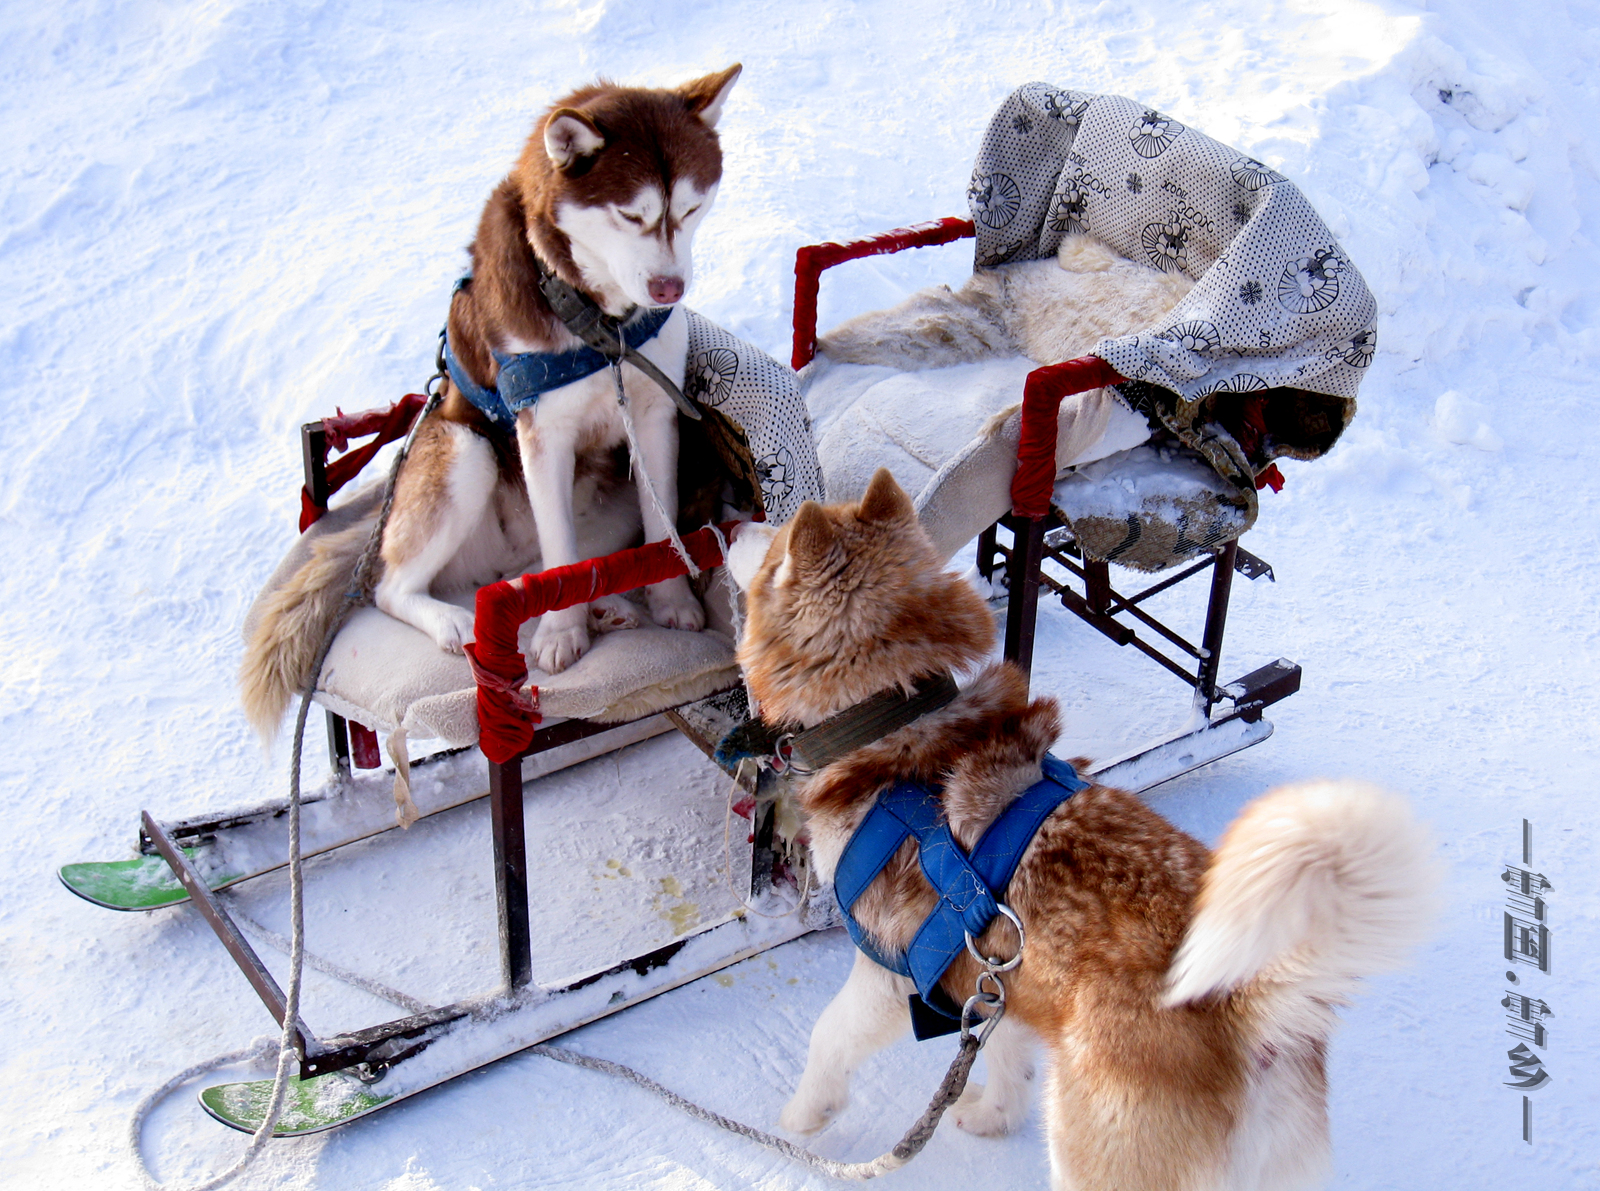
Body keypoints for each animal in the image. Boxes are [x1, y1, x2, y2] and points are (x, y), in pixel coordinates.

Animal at [240, 65, 739, 739]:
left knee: (535, 570)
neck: (600, 326)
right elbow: (560, 559)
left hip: (603, 507)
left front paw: (670, 601)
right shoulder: (542, 432)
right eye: (629, 215)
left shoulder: (655, 414)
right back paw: (458, 620)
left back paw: (603, 605)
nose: (669, 287)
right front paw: (560, 631)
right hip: (463, 452)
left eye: (690, 207)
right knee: (398, 586)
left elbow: (661, 535)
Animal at [726, 470, 1440, 1191]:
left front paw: (803, 1115)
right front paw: (993, 1114)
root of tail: (1248, 1011)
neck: (892, 724)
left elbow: (828, 1036)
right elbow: (1003, 1054)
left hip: (1092, 1149)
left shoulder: (889, 970)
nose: (731, 523)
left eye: (773, 543)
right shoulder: (999, 973)